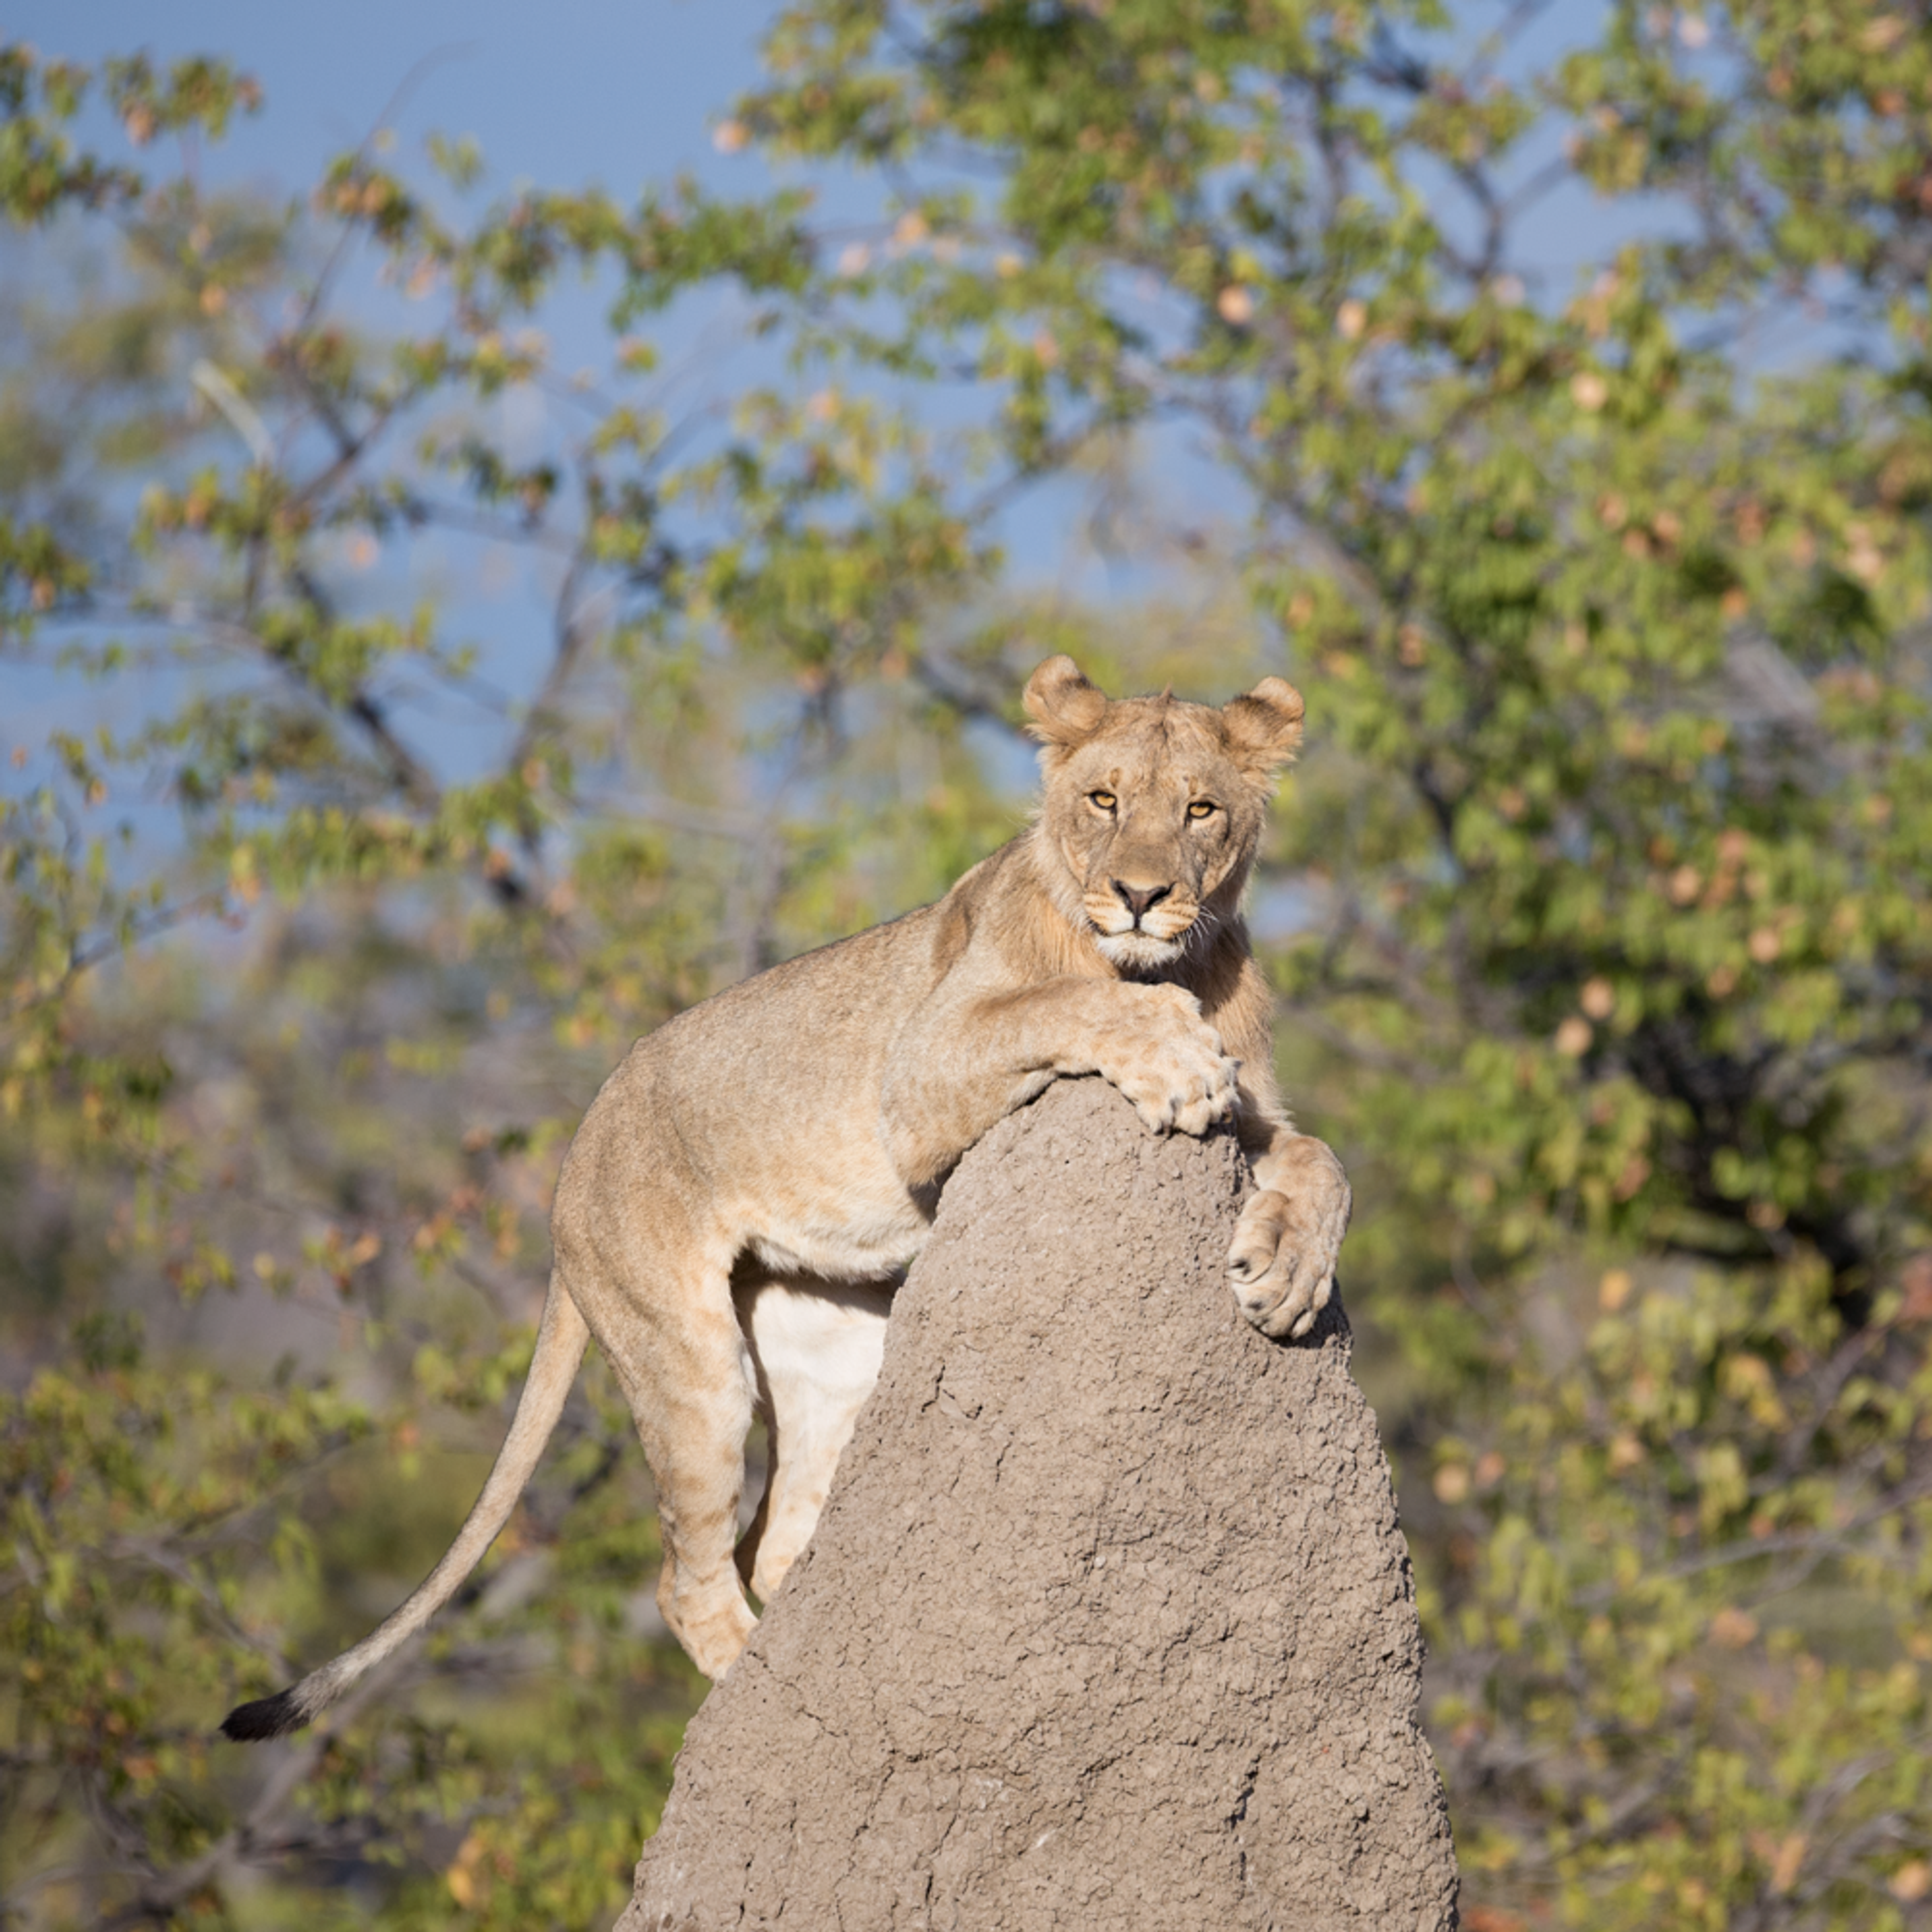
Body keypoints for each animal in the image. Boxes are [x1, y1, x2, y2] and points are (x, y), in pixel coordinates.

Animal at [221, 655, 1351, 1738]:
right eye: (1104, 799)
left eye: (1201, 810)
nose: (1141, 894)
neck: (1176, 967)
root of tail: (572, 1159)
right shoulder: (920, 1076)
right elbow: (1070, 1002)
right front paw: (1171, 1059)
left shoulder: (1261, 1110)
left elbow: (1322, 1158)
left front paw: (1287, 1277)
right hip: (688, 1364)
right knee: (687, 1581)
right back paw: (757, 1712)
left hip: (839, 1356)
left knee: (773, 1545)